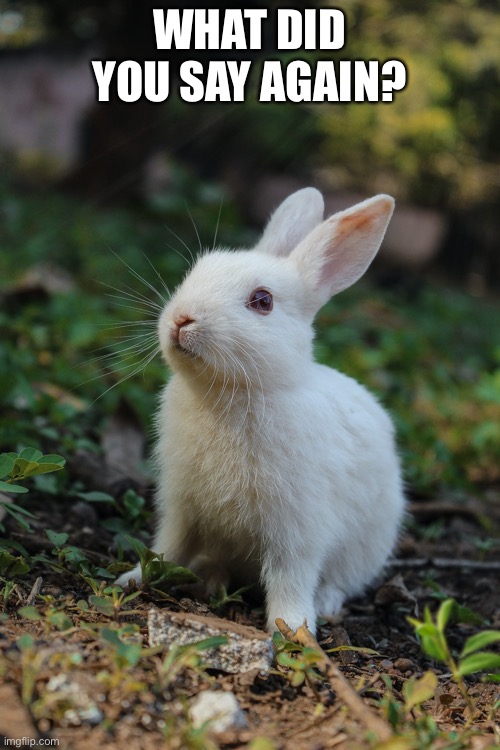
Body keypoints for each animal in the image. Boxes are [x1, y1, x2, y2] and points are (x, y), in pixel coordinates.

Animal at [118, 189, 406, 636]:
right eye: (196, 271)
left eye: (263, 301)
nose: (182, 319)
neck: (232, 394)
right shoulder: (181, 506)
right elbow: (168, 547)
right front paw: (133, 578)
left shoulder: (297, 528)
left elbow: (291, 577)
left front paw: (292, 628)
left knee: (341, 580)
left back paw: (325, 603)